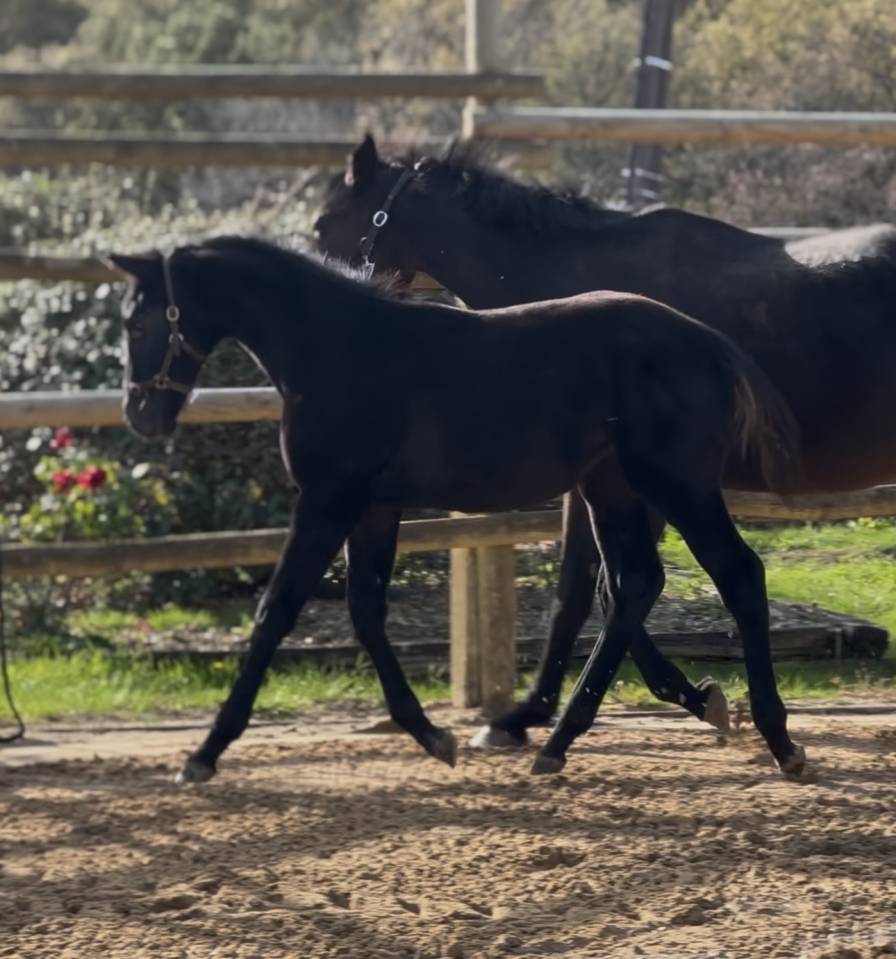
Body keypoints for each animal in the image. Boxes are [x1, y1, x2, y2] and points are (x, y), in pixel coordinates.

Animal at [108, 236, 803, 783]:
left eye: (137, 324)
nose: (140, 415)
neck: (339, 348)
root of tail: (709, 342)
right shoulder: (373, 508)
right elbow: (366, 612)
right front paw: (432, 735)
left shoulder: (329, 500)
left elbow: (276, 610)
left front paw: (204, 752)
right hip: (614, 490)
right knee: (635, 583)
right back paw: (564, 739)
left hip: (676, 486)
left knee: (737, 575)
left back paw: (780, 741)